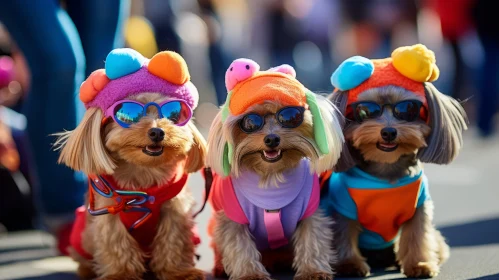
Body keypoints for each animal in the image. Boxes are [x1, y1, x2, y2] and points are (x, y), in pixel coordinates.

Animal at [55, 49, 208, 278]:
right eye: (128, 114)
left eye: (173, 114)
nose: (157, 131)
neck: (143, 171)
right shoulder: (109, 211)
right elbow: (116, 243)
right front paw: (121, 274)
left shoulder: (174, 208)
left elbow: (173, 239)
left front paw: (177, 272)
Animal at [206, 58, 344, 278]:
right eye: (250, 121)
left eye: (290, 117)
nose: (271, 139)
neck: (270, 176)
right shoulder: (232, 219)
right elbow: (239, 246)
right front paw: (250, 274)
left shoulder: (311, 211)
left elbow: (312, 238)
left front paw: (313, 270)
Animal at [320, 44, 468, 278]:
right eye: (365, 111)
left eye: (408, 109)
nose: (389, 132)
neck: (386, 168)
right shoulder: (343, 206)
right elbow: (345, 234)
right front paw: (350, 264)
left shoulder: (419, 206)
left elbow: (417, 235)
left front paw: (419, 264)